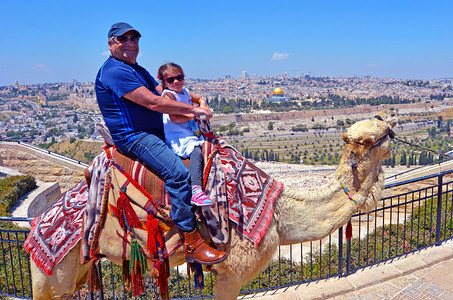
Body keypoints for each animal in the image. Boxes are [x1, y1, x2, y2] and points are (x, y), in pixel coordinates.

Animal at [30, 113, 394, 298]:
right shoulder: (232, 271)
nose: (391, 124)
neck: (278, 214)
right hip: (51, 275)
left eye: (379, 128)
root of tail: (35, 229)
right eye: (373, 137)